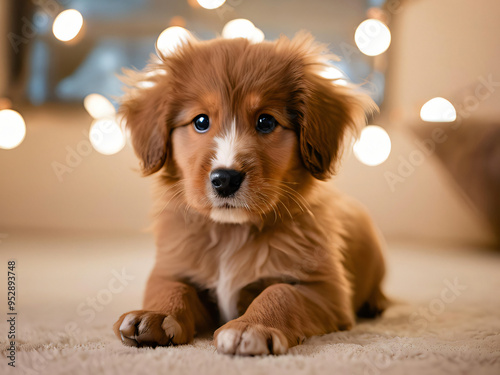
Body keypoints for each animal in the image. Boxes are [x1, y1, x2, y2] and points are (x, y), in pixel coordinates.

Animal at [112, 32, 386, 356]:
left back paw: (376, 303)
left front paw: (251, 326)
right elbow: (173, 287)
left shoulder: (326, 290)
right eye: (201, 121)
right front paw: (154, 314)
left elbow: (280, 292)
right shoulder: (171, 269)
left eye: (265, 122)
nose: (225, 179)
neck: (231, 233)